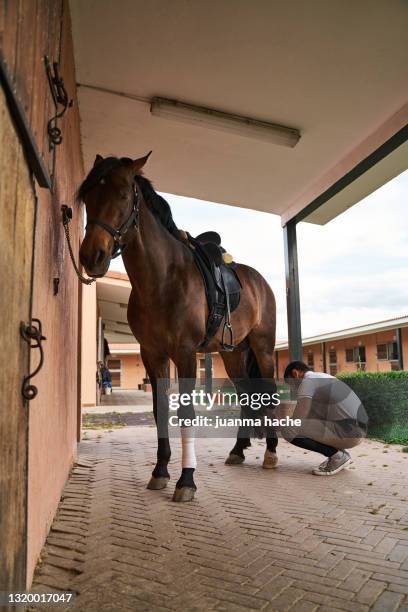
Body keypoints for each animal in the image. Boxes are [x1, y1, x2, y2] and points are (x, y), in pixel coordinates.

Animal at [78, 153, 278, 502]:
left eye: (122, 195)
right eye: (88, 197)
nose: (92, 256)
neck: (163, 279)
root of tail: (259, 281)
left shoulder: (184, 354)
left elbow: (186, 414)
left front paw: (186, 480)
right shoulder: (152, 354)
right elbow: (160, 411)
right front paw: (160, 472)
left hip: (263, 348)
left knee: (269, 393)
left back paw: (271, 452)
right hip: (234, 354)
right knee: (244, 395)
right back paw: (238, 450)